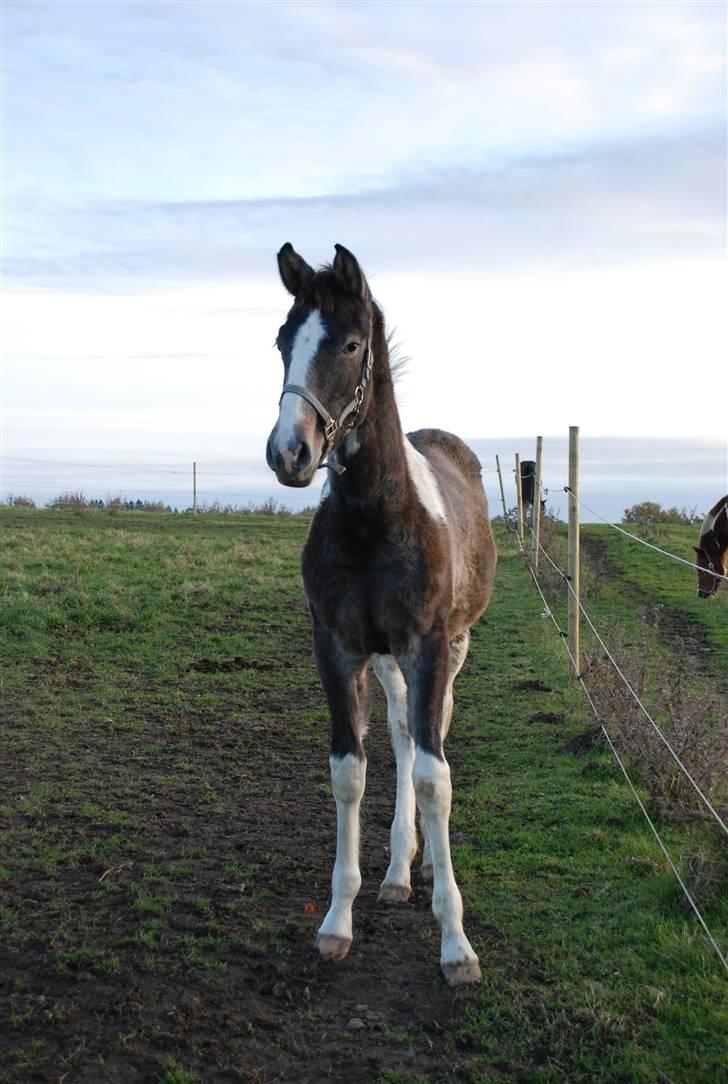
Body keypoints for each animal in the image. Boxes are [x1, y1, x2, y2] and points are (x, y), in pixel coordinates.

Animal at [264, 241, 498, 988]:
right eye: (283, 341)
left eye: (350, 343)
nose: (289, 452)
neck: (374, 516)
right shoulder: (338, 646)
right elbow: (352, 769)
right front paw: (338, 921)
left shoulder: (428, 645)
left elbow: (433, 774)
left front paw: (456, 943)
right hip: (389, 659)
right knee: (399, 733)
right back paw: (397, 870)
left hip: (453, 646)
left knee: (431, 734)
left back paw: (418, 867)